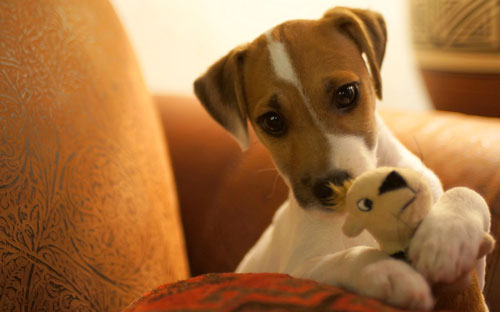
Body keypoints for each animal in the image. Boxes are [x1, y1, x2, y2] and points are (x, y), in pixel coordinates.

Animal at [192, 6, 492, 310]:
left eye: (346, 93)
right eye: (272, 121)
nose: (333, 188)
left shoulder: (474, 281)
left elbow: (466, 193)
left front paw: (448, 232)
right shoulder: (300, 269)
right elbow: (346, 258)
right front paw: (382, 269)